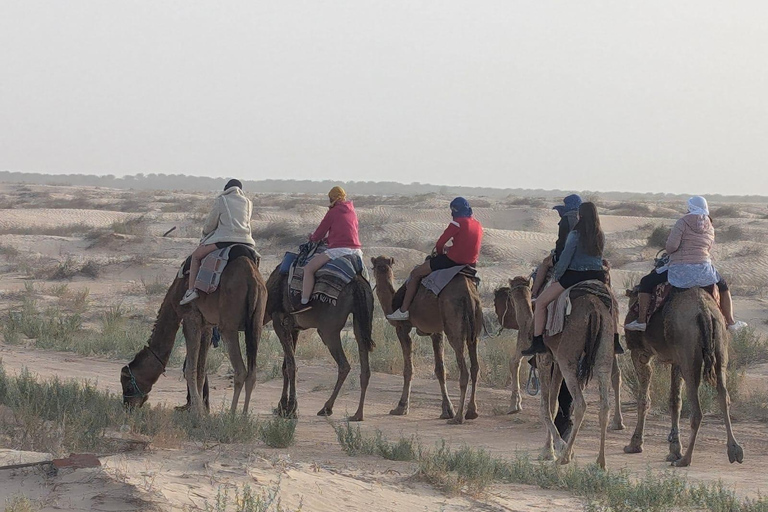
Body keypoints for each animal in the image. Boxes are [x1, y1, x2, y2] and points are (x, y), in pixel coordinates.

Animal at [119, 256, 264, 416]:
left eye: (129, 386)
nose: (128, 406)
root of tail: (251, 276)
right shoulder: (206, 325)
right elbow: (200, 369)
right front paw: (200, 408)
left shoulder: (190, 317)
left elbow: (190, 369)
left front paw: (196, 411)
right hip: (256, 323)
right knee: (252, 373)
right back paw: (243, 416)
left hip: (229, 325)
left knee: (240, 371)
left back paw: (231, 415)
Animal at [262, 264, 376, 420]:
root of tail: (357, 283)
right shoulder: (293, 327)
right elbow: (285, 366)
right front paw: (282, 407)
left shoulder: (278, 321)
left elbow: (291, 366)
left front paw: (290, 409)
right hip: (362, 319)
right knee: (364, 365)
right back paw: (357, 414)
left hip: (328, 329)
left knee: (344, 365)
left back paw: (327, 407)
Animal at [370, 256, 480, 424]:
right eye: (377, 266)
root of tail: (468, 291)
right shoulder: (436, 331)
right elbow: (440, 370)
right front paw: (447, 410)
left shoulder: (402, 328)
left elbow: (408, 369)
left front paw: (401, 407)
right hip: (474, 326)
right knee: (475, 366)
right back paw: (471, 412)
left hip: (453, 323)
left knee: (464, 370)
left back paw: (458, 417)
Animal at [498, 276, 616, 468]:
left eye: (508, 293)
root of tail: (595, 310)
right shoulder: (556, 364)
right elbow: (553, 406)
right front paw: (548, 450)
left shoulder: (545, 358)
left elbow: (545, 407)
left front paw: (557, 447)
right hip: (604, 351)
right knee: (605, 405)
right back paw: (600, 462)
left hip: (568, 357)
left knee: (581, 404)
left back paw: (566, 456)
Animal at [624, 288, 744, 468]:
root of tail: (705, 312)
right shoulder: (676, 360)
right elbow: (675, 401)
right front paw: (674, 450)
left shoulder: (640, 352)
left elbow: (644, 400)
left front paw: (635, 444)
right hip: (719, 347)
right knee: (724, 396)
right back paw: (735, 451)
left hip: (688, 353)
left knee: (697, 411)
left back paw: (685, 459)